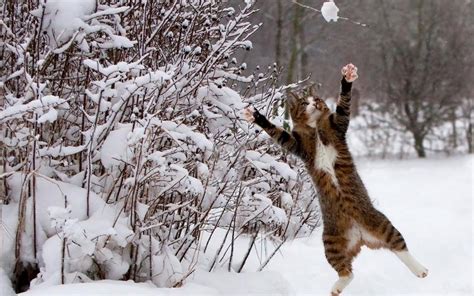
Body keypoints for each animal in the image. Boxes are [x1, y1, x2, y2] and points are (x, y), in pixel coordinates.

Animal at [243, 63, 428, 294]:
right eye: (304, 102)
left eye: (317, 99)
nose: (314, 103)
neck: (315, 127)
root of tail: (361, 237)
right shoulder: (296, 145)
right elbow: (279, 134)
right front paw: (256, 116)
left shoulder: (338, 125)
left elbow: (344, 106)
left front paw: (347, 78)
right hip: (331, 244)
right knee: (347, 271)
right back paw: (337, 288)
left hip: (381, 223)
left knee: (400, 248)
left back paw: (420, 270)